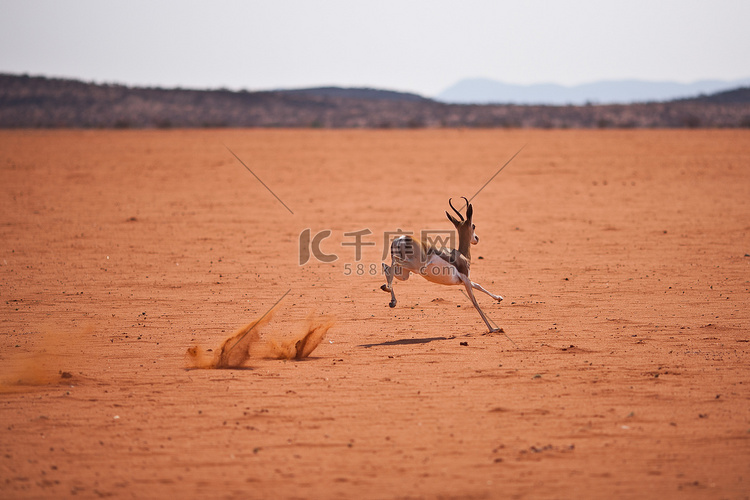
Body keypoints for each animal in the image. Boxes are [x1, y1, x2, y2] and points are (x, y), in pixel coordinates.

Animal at [382, 198, 506, 332]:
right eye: (473, 225)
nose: (476, 238)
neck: (462, 254)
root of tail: (400, 239)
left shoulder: (463, 280)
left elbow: (478, 285)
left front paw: (499, 298)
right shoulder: (466, 279)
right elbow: (475, 302)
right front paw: (493, 328)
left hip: (405, 273)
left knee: (386, 267)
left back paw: (391, 298)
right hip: (415, 267)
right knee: (394, 262)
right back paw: (388, 290)